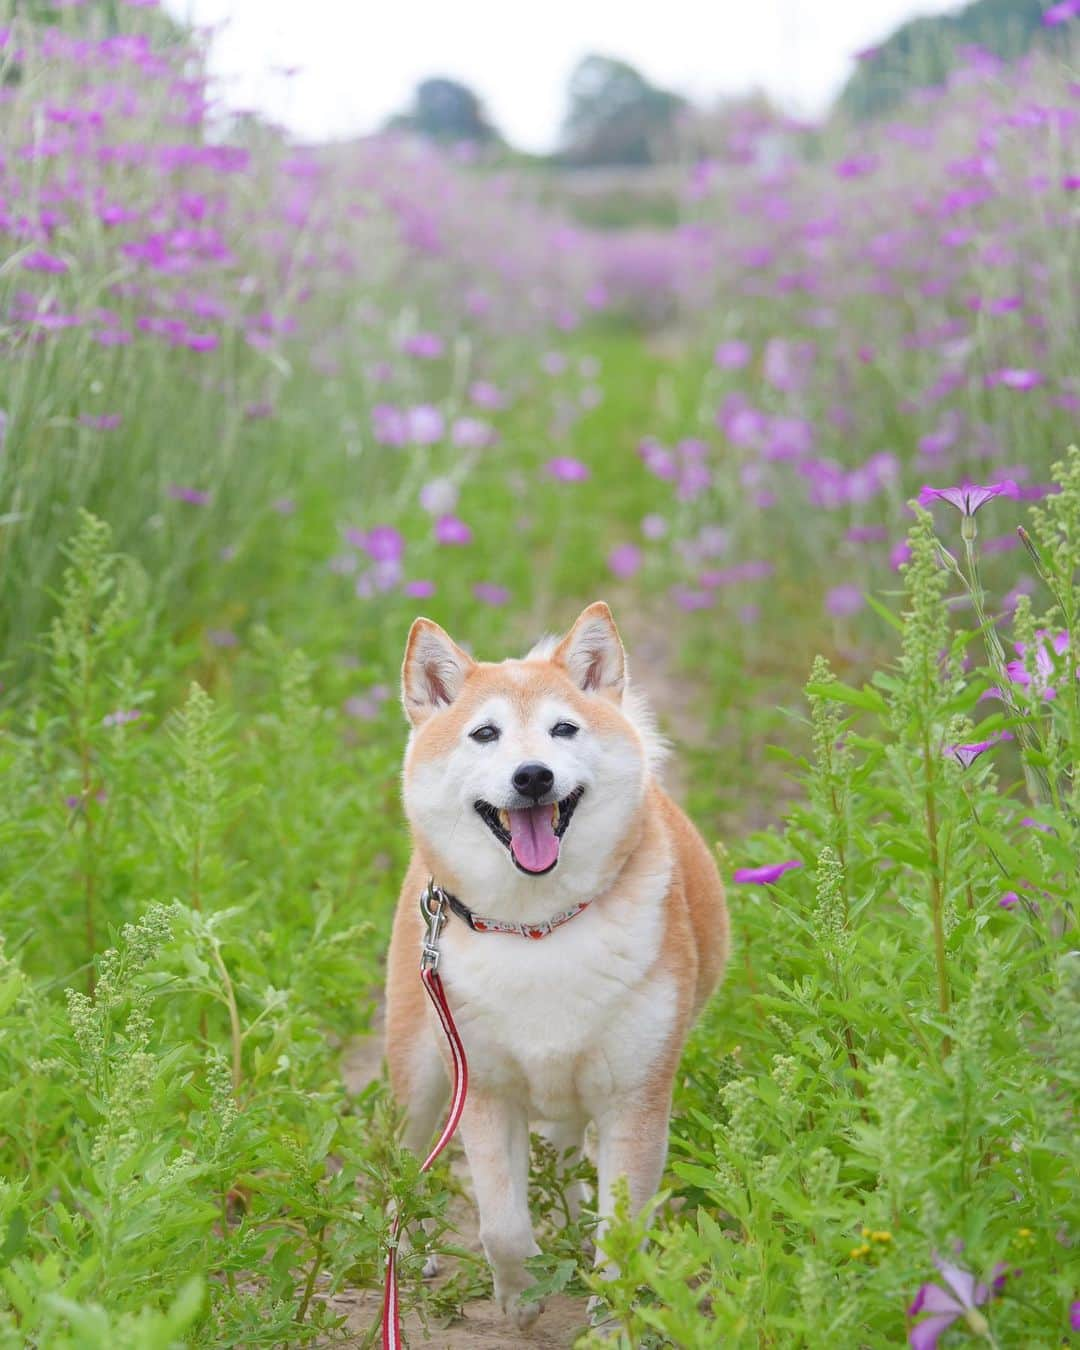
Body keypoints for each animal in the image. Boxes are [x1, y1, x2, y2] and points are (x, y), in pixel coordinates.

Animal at [383, 602, 729, 1328]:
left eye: (563, 729)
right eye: (485, 734)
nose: (533, 775)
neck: (540, 929)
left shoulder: (634, 1099)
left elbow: (620, 1238)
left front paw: (610, 1323)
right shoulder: (485, 1094)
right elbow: (502, 1226)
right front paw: (520, 1298)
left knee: (568, 1156)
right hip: (422, 1072)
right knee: (405, 1167)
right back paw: (412, 1250)